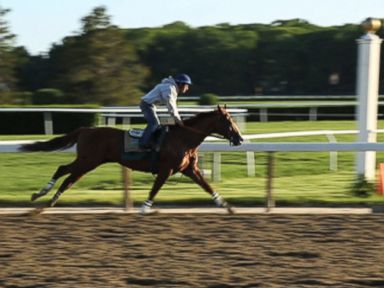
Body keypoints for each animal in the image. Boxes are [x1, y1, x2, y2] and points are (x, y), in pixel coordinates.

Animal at [19, 104, 243, 213]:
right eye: (228, 120)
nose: (240, 138)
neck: (183, 138)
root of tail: (86, 129)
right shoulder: (166, 169)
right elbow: (155, 189)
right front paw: (144, 209)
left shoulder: (190, 169)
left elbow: (207, 186)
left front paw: (227, 206)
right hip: (88, 160)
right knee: (63, 171)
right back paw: (42, 196)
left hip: (88, 162)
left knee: (67, 177)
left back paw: (47, 200)